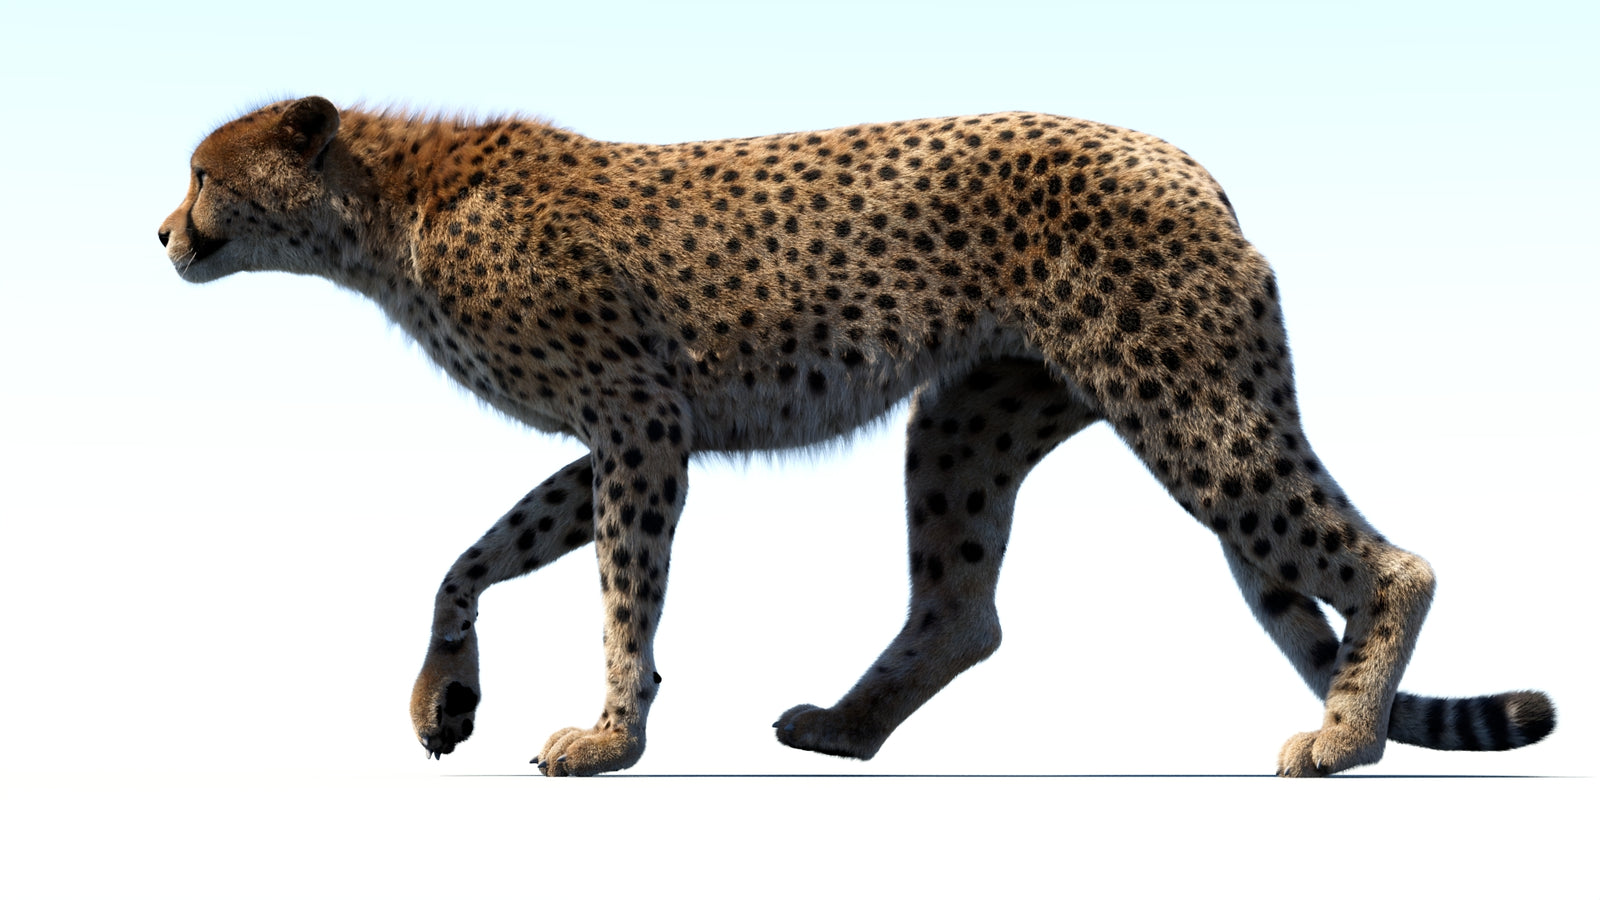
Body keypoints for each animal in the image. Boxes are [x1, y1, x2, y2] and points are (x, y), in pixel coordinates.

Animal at [159, 96, 1555, 776]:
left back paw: (1346, 737)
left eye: (204, 174)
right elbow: (471, 557)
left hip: (1185, 402)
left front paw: (610, 737)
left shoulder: (640, 424)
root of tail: (1180, 159)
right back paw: (843, 726)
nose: (163, 232)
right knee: (961, 609)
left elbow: (621, 596)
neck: (383, 209)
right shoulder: (627, 434)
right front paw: (445, 698)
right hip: (969, 421)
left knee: (1390, 562)